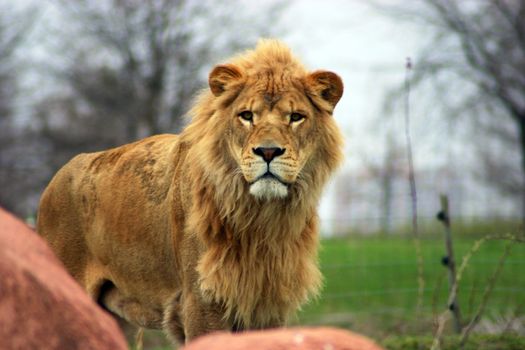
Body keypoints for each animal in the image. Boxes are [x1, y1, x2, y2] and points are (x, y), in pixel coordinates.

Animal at [39, 39, 346, 344]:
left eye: (296, 117)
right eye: (246, 116)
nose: (268, 151)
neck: (261, 218)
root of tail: (55, 179)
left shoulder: (268, 307)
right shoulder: (201, 304)